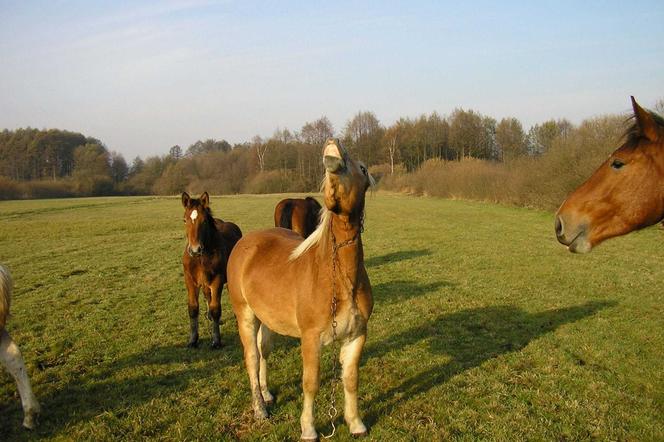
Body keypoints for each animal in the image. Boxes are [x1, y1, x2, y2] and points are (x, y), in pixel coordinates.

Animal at [182, 192, 241, 348]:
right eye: (184, 220)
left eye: (204, 221)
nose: (195, 249)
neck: (200, 258)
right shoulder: (190, 281)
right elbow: (193, 308)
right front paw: (193, 340)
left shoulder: (217, 280)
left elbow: (216, 308)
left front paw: (216, 340)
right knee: (207, 295)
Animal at [228, 138, 374, 438]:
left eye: (363, 168)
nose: (333, 150)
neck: (339, 280)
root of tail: (244, 243)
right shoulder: (310, 340)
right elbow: (311, 383)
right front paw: (308, 428)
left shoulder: (357, 336)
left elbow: (350, 379)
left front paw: (356, 423)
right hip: (245, 316)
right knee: (251, 357)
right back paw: (260, 409)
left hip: (267, 320)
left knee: (263, 351)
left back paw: (266, 393)